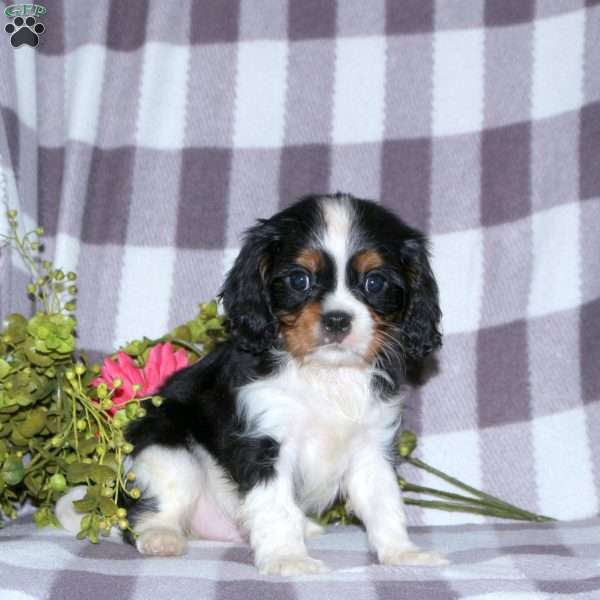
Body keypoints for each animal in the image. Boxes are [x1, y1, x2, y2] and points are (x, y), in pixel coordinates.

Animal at [122, 195, 442, 576]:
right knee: (151, 509)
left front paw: (402, 552)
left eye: (375, 283)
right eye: (299, 279)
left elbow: (384, 502)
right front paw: (288, 558)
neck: (325, 372)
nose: (337, 320)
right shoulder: (265, 443)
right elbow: (276, 506)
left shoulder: (372, 446)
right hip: (167, 451)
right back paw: (161, 536)